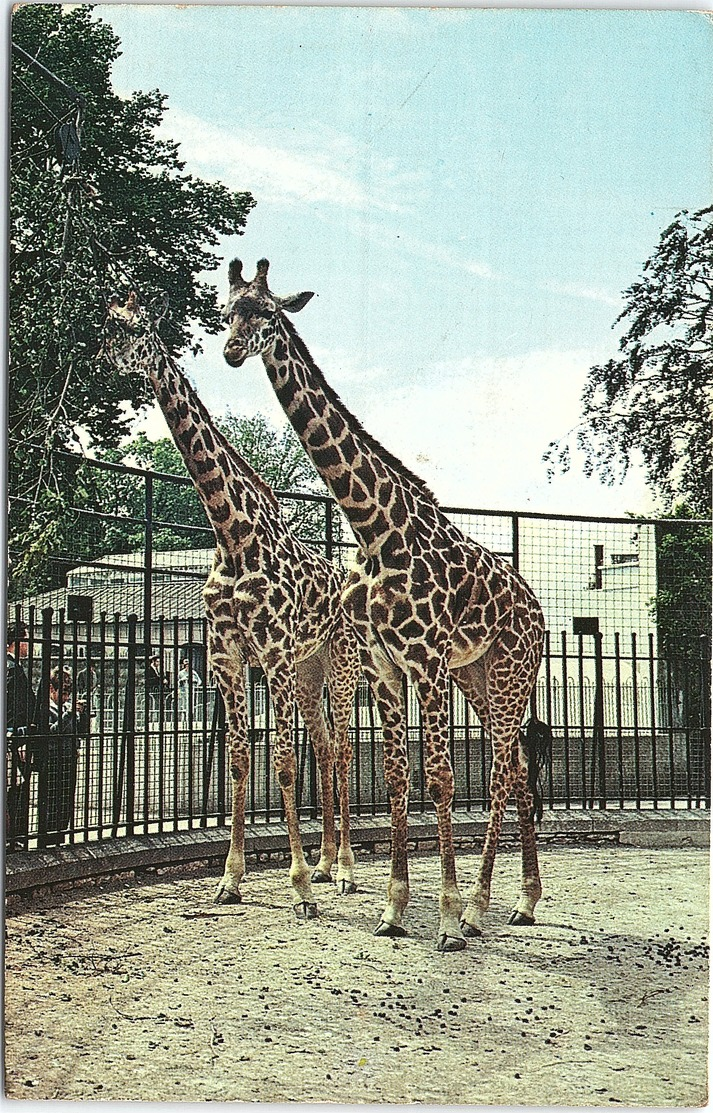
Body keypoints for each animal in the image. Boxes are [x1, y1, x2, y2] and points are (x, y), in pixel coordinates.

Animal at [100, 291, 360, 917]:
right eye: (104, 327)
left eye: (134, 331)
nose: (99, 360)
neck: (231, 532)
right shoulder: (226, 654)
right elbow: (241, 759)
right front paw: (231, 878)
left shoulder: (273, 653)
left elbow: (283, 761)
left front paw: (296, 886)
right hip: (310, 670)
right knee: (323, 746)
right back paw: (325, 863)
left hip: (339, 664)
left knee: (341, 750)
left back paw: (342, 870)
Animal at [222, 255, 551, 952]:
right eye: (225, 310)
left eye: (265, 311)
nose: (233, 351)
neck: (375, 528)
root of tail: (538, 610)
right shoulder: (386, 666)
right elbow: (399, 777)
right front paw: (394, 909)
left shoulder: (425, 661)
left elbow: (440, 778)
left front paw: (447, 918)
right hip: (478, 678)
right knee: (514, 768)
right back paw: (522, 901)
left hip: (510, 675)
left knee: (505, 771)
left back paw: (482, 907)